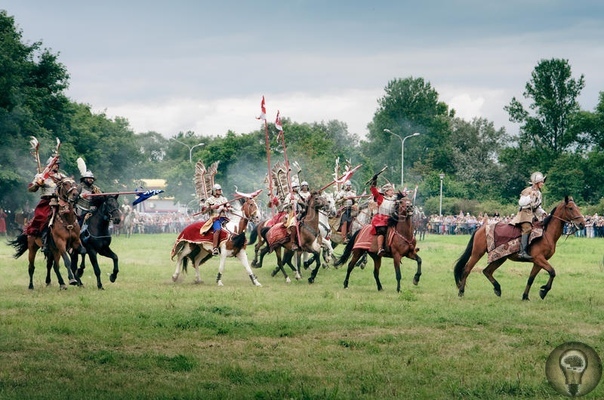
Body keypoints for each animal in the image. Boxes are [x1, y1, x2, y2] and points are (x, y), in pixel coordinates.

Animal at [452, 195, 584, 302]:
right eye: (571, 208)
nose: (582, 223)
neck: (546, 233)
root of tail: (481, 227)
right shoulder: (539, 258)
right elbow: (552, 272)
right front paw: (543, 291)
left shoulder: (538, 262)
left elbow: (531, 279)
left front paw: (525, 296)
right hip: (477, 253)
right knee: (467, 269)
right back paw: (461, 292)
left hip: (500, 257)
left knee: (487, 271)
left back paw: (497, 288)